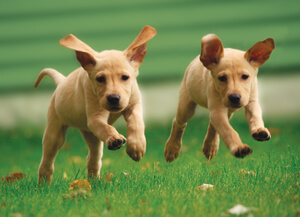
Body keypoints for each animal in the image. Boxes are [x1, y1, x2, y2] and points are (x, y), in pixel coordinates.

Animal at [164, 34, 274, 162]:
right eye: (222, 78)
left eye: (245, 76)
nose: (234, 97)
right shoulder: (217, 109)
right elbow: (228, 131)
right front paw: (239, 148)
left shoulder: (252, 101)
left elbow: (255, 116)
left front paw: (259, 130)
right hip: (186, 105)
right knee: (179, 123)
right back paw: (172, 149)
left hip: (227, 111)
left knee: (212, 125)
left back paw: (210, 146)